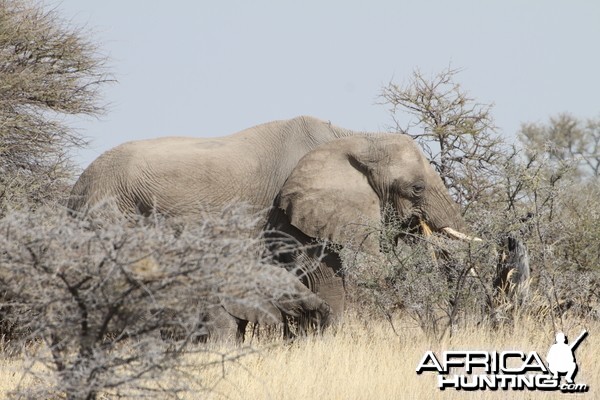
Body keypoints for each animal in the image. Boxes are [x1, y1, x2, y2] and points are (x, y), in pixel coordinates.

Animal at [68, 115, 478, 324]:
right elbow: (325, 275)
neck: (353, 137)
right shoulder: (291, 212)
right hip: (111, 214)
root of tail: (75, 189)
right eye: (417, 189)